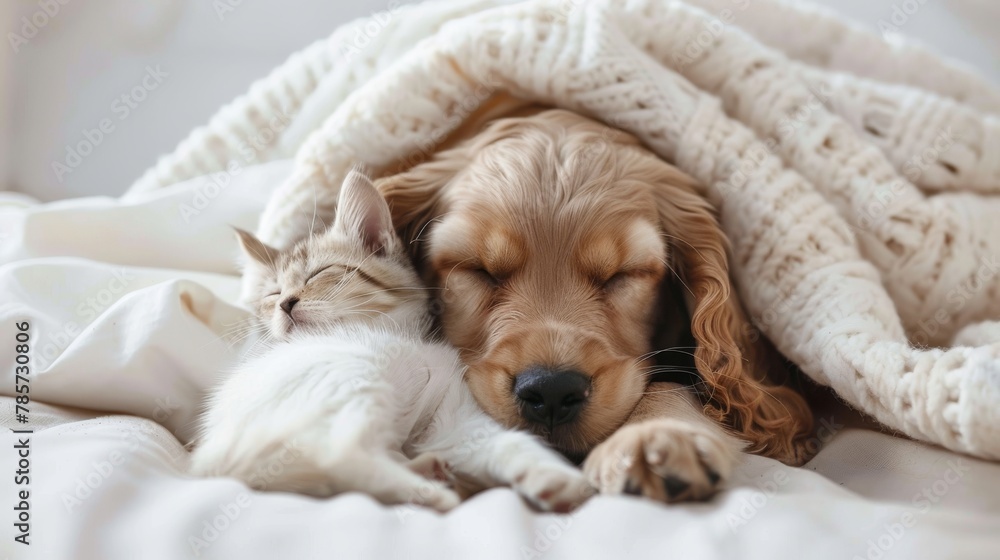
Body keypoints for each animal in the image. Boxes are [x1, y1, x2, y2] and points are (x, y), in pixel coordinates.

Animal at [189, 167, 592, 512]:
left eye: (320, 273)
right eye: (272, 294)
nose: (285, 303)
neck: (402, 336)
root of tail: (214, 464)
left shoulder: (453, 420)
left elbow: (507, 442)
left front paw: (552, 476)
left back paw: (425, 469)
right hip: (355, 379)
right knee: (339, 457)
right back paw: (429, 493)